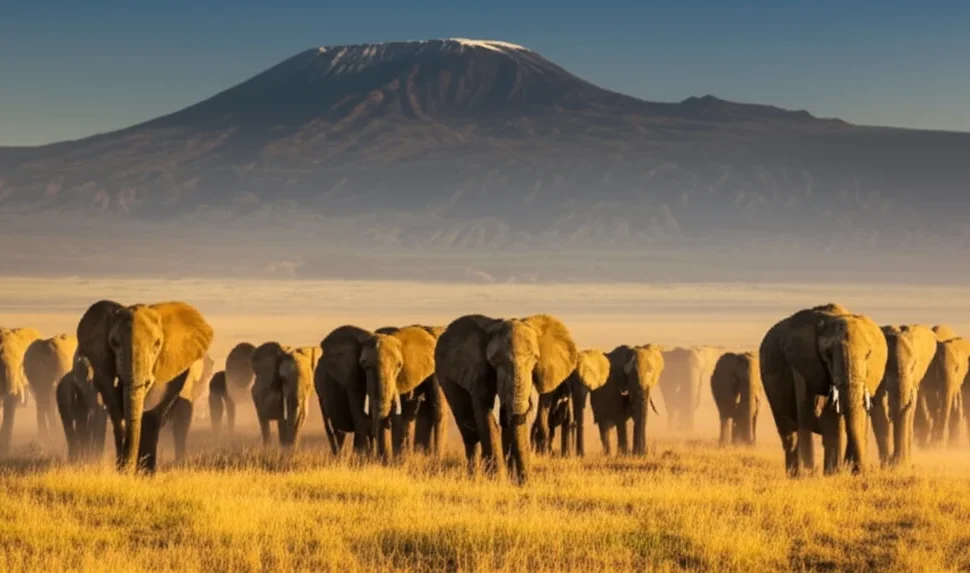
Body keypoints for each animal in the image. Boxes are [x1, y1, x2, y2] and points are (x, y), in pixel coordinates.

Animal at [76, 300, 214, 473]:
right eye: (114, 343)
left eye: (157, 344)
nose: (126, 469)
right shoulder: (100, 361)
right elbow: (113, 403)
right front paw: (125, 472)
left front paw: (139, 473)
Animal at [436, 314, 578, 483]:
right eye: (495, 361)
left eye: (534, 359)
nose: (525, 482)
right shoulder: (476, 370)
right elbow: (484, 412)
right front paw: (496, 480)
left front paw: (513, 480)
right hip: (446, 376)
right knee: (468, 427)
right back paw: (474, 478)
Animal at [760, 303, 887, 476]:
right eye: (828, 354)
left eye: (868, 355)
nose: (859, 471)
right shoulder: (802, 364)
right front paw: (814, 475)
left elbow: (840, 421)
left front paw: (838, 474)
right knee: (788, 433)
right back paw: (795, 475)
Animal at [871, 325, 936, 466]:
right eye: (886, 366)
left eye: (913, 366)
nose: (894, 461)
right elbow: (878, 407)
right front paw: (887, 465)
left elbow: (910, 412)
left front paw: (902, 466)